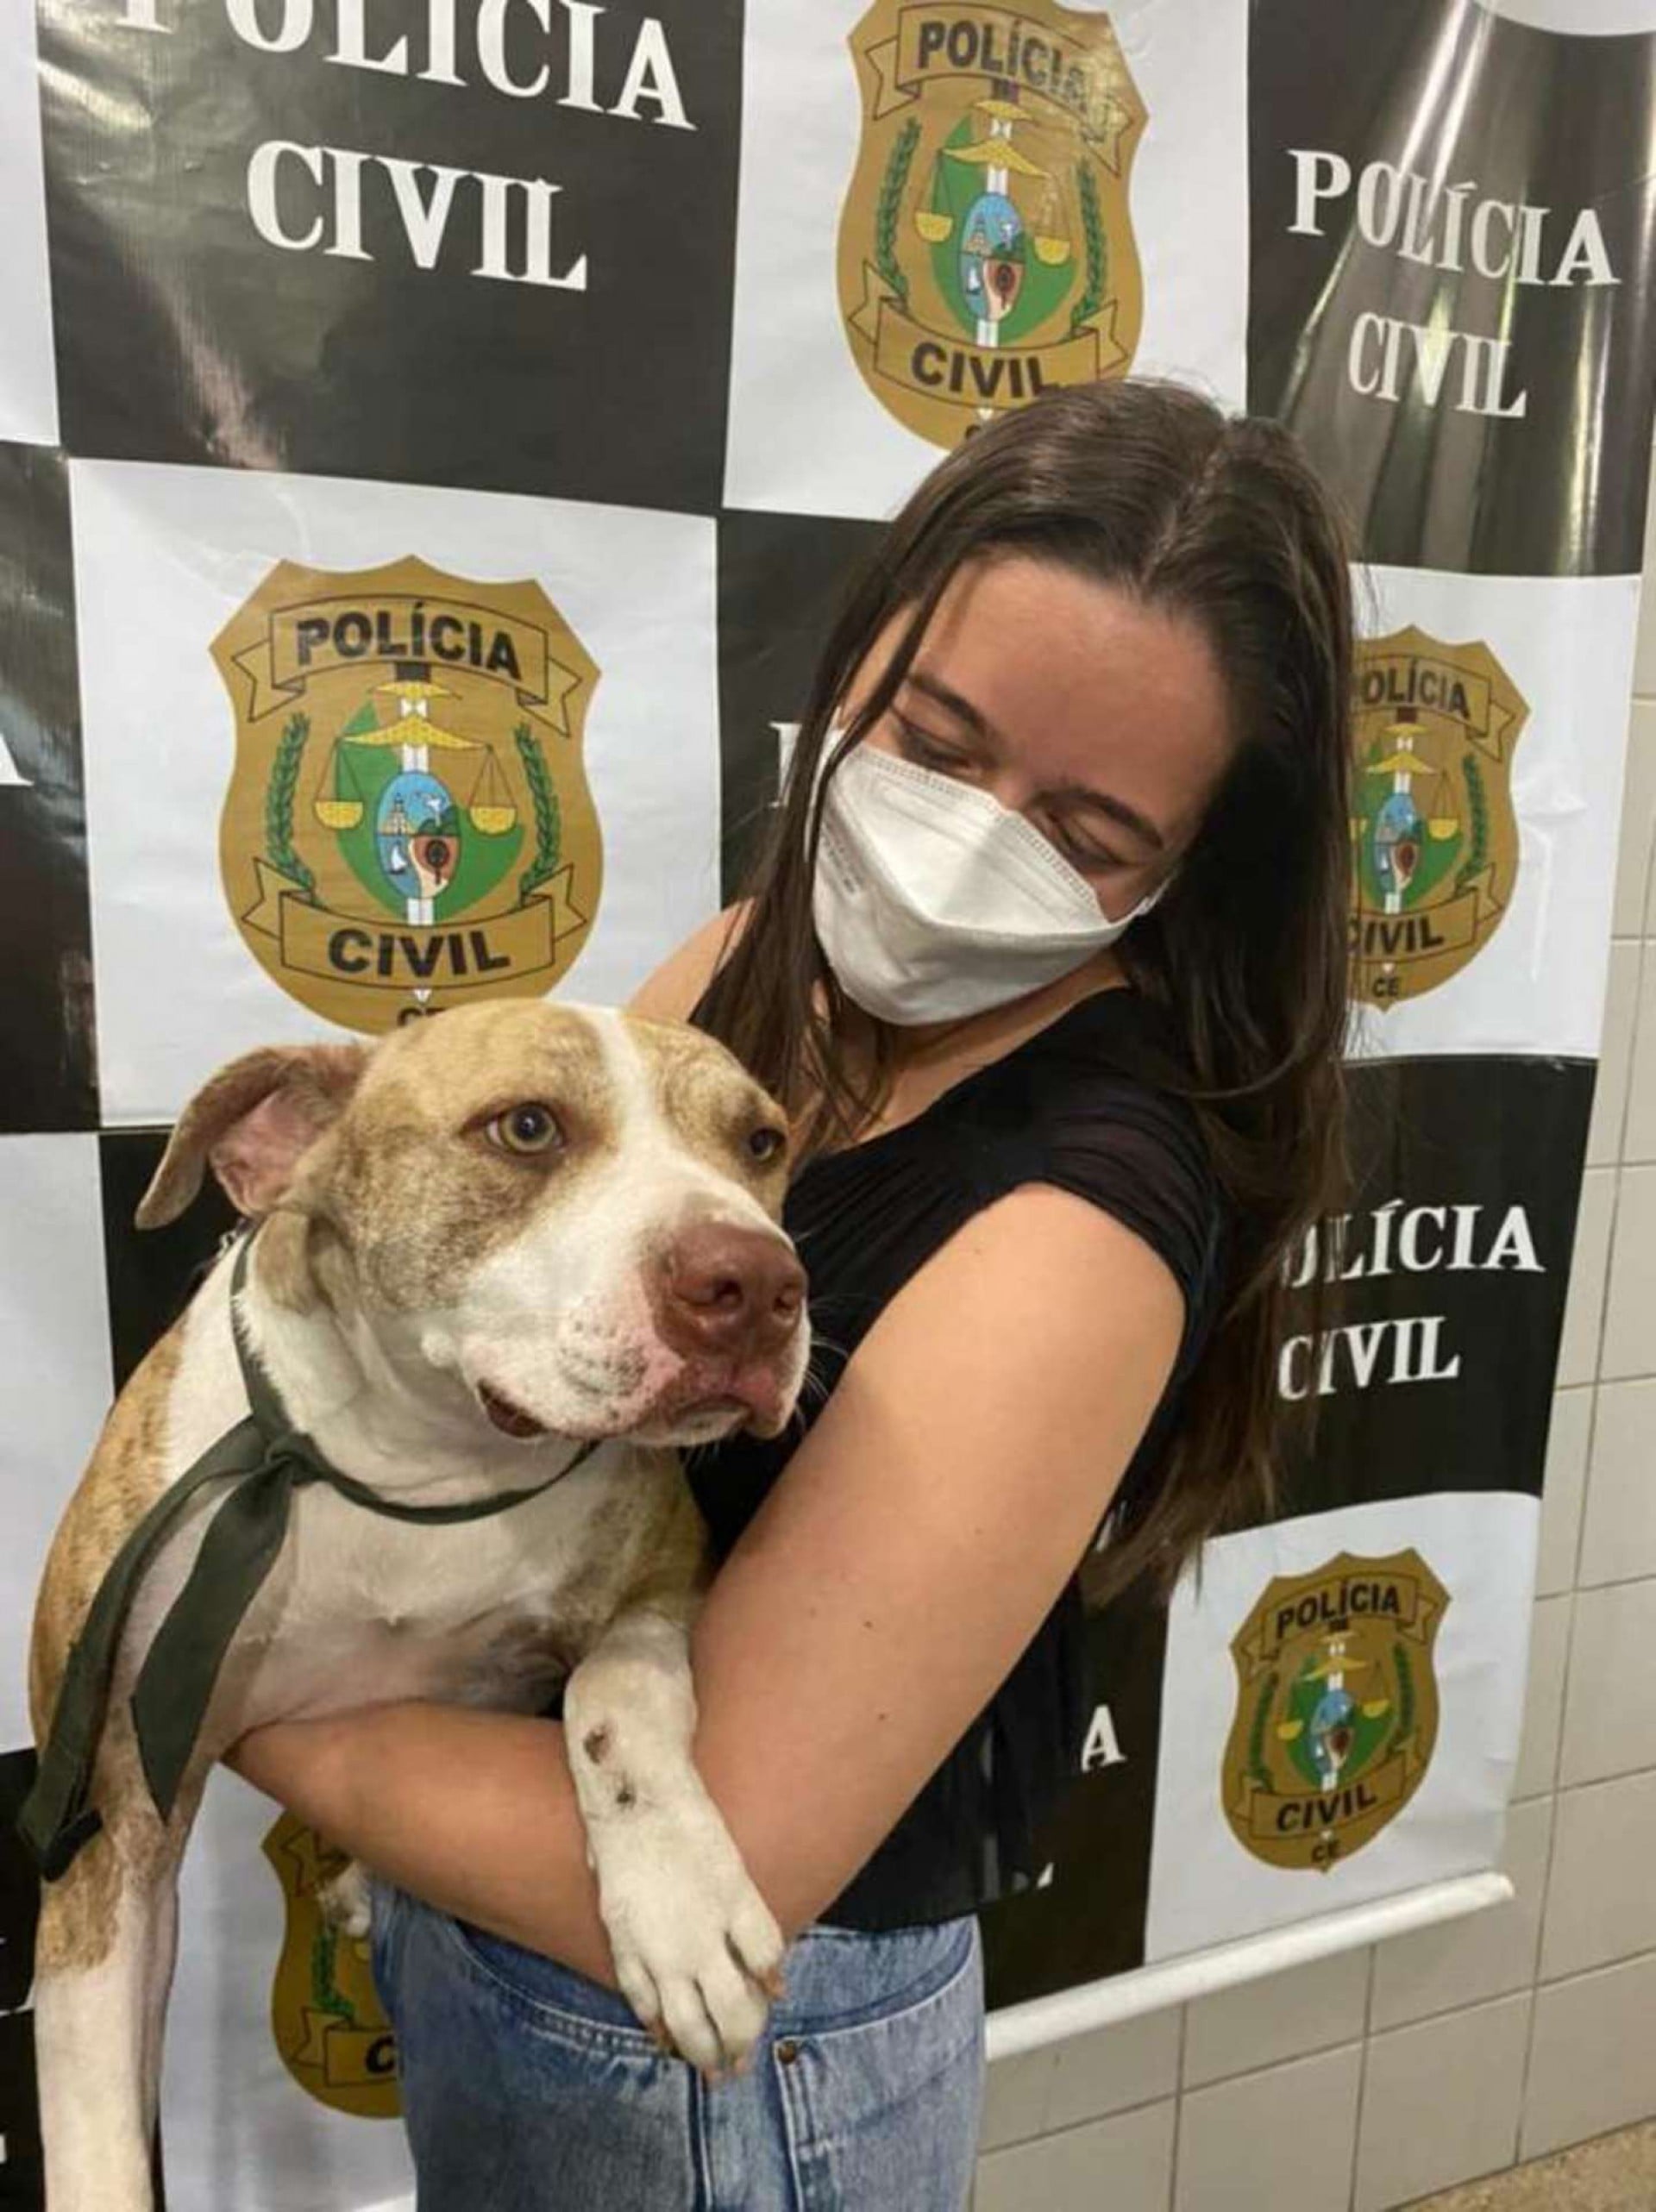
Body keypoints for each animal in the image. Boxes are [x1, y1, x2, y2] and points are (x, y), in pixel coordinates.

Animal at [23, 999, 810, 2212]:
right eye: (527, 1128)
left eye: (760, 1141)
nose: (758, 1286)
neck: (421, 1463)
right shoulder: (111, 1819)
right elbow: (100, 2132)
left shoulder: (672, 1571)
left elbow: (614, 1690)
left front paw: (683, 1909)